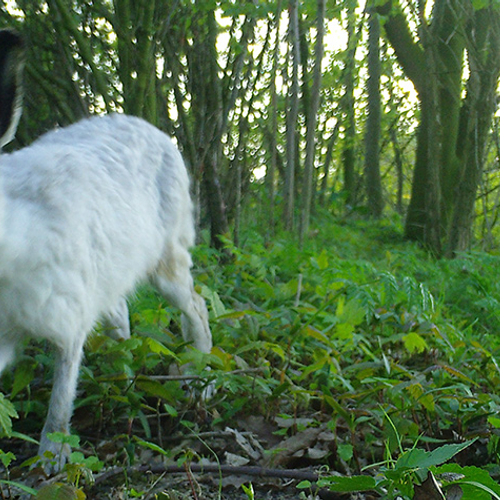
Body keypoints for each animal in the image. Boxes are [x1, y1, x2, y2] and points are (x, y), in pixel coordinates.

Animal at [0, 30, 212, 468]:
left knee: (196, 305)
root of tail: (153, 130)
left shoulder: (67, 314)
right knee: (122, 319)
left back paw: (199, 381)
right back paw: (123, 378)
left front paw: (51, 460)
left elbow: (61, 396)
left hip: (166, 260)